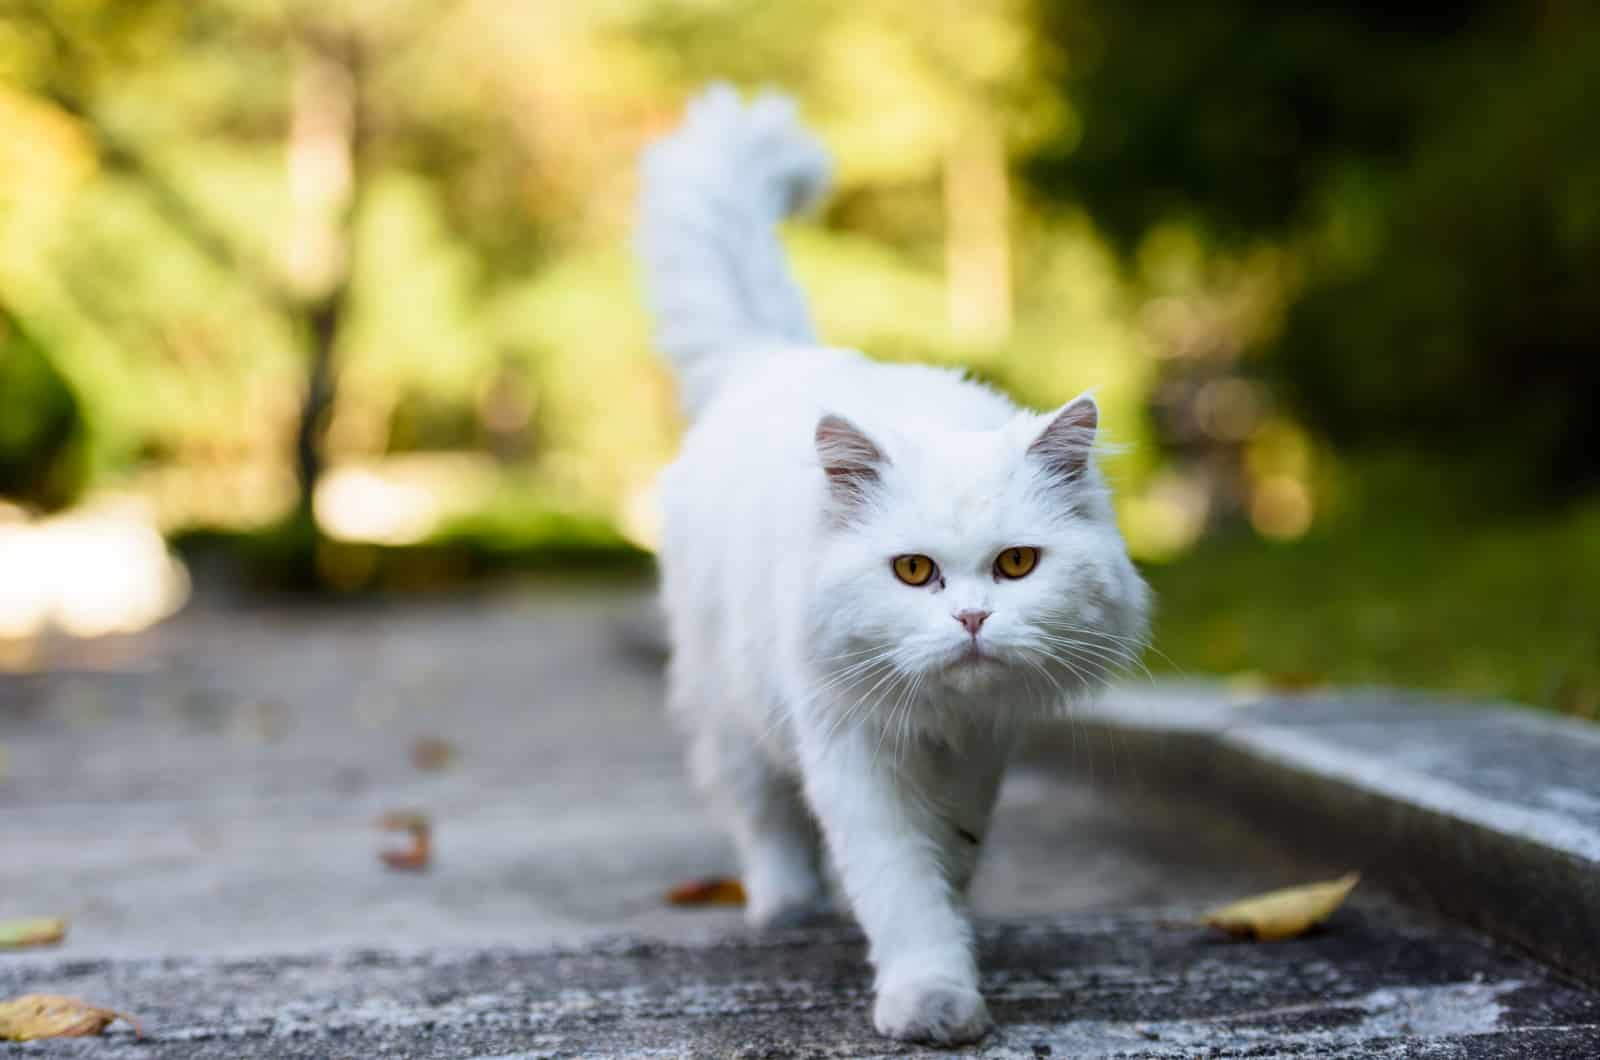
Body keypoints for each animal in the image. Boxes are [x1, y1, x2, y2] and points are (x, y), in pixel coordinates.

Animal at [633, 85, 1152, 1043]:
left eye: (1016, 565)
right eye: (913, 573)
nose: (972, 619)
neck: (941, 722)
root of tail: (774, 358)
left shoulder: (983, 748)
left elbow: (951, 854)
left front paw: (956, 923)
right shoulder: (851, 748)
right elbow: (898, 884)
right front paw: (931, 1000)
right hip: (730, 710)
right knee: (762, 815)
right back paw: (787, 908)